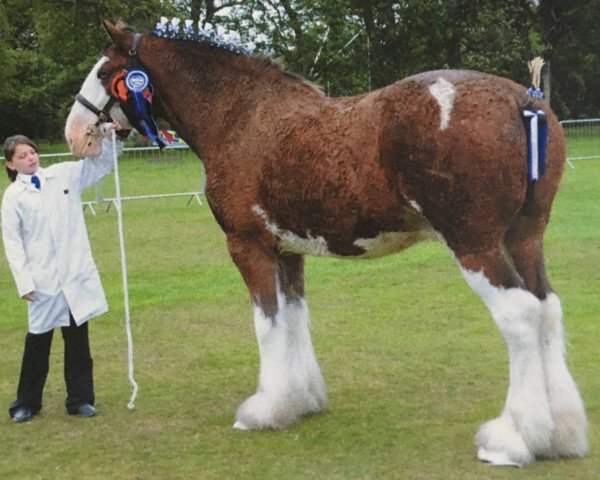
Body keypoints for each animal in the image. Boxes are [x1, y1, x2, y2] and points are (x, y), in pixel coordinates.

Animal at [64, 20, 584, 466]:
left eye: (104, 73)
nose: (75, 134)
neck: (240, 117)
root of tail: (524, 100)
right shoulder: (288, 250)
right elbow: (295, 318)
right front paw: (303, 400)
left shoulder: (247, 246)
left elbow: (267, 324)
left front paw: (265, 410)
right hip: (524, 240)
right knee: (548, 308)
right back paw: (561, 434)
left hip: (476, 246)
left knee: (520, 316)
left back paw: (512, 439)